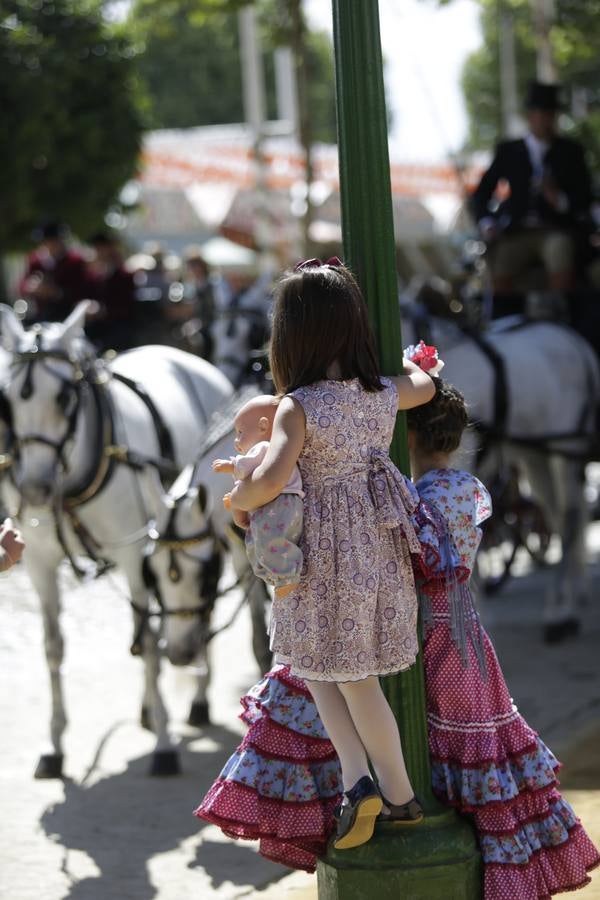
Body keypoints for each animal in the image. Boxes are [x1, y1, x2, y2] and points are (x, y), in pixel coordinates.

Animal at [0, 300, 233, 772]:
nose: (34, 490)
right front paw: (55, 746)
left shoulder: (134, 554)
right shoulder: (38, 561)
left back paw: (197, 699)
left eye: (65, 397)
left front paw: (164, 744)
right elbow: (53, 646)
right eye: (7, 401)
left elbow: (150, 641)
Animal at [398, 310, 600, 640]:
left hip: (565, 448)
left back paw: (561, 613)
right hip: (535, 456)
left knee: (569, 519)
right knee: (557, 515)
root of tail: (572, 339)